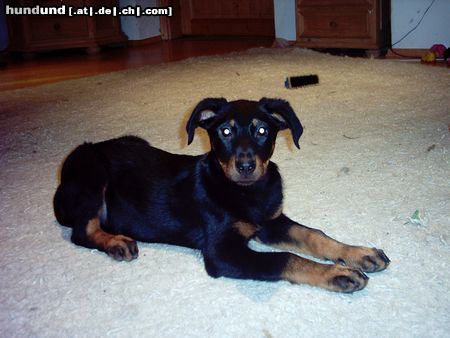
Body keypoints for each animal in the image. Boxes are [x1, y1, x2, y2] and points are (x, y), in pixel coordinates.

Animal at [53, 98, 390, 294]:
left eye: (262, 131)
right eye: (225, 132)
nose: (246, 166)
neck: (247, 191)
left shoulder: (271, 222)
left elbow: (313, 234)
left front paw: (359, 253)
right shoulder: (222, 253)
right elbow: (285, 257)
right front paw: (337, 274)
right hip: (91, 171)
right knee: (82, 231)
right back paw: (115, 242)